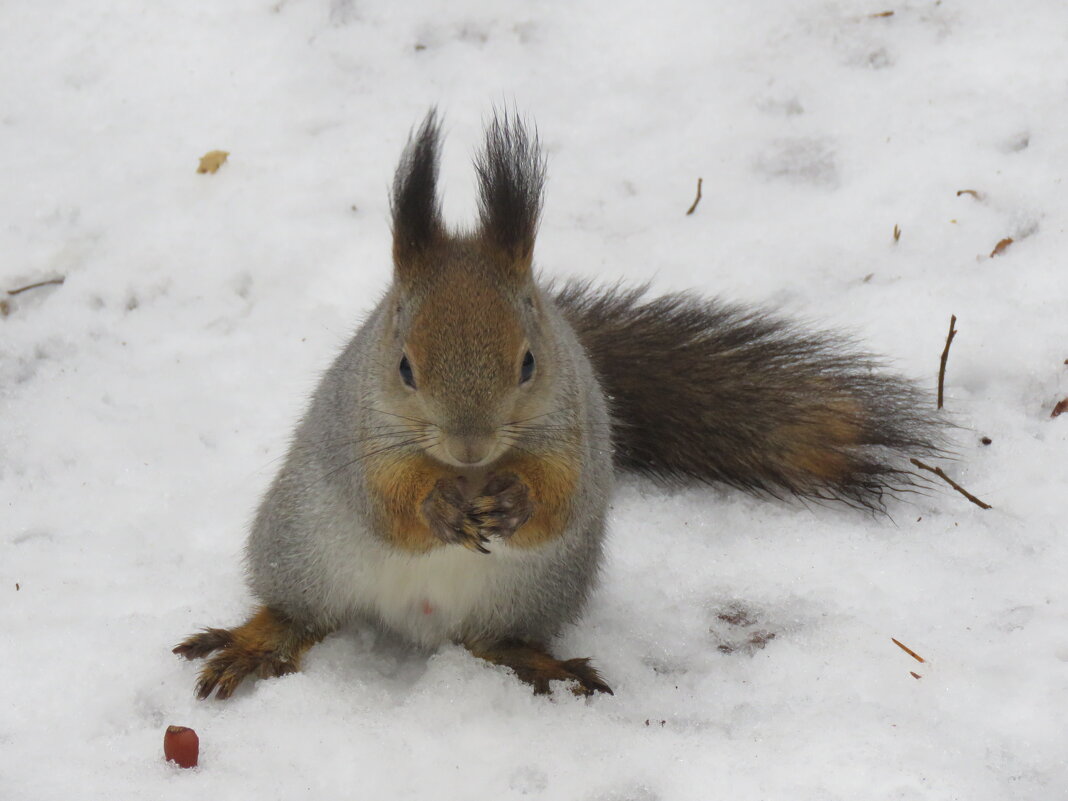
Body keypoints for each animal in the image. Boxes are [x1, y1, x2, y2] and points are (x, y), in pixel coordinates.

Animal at [173, 110, 944, 700]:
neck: (470, 471)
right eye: (403, 367)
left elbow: (560, 496)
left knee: (490, 640)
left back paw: (537, 663)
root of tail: (418, 621)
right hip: (303, 549)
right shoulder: (358, 431)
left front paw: (515, 499)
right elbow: (387, 502)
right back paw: (258, 643)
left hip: (534, 589)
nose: (471, 446)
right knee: (302, 614)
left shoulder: (577, 430)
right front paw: (435, 505)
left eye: (528, 361)